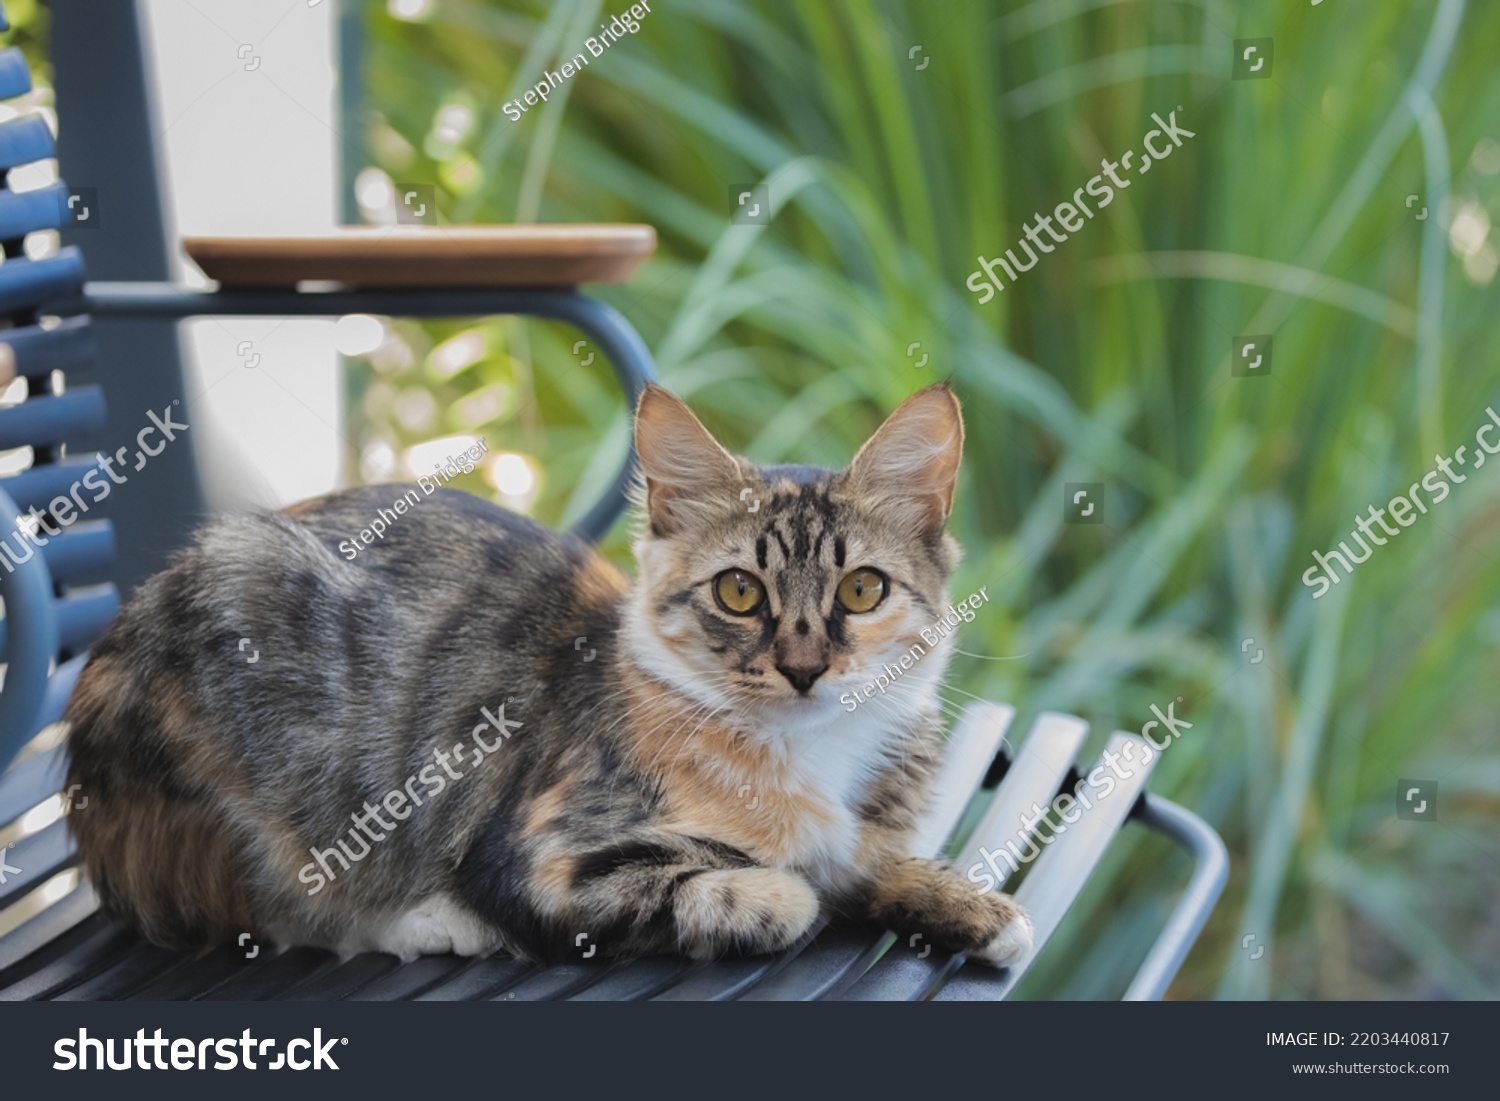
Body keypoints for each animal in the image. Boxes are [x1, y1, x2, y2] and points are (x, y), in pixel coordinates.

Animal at [64, 384, 1038, 972]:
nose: (803, 668)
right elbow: (755, 888)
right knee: (280, 906)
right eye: (740, 590)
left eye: (862, 589)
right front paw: (784, 888)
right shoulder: (542, 859)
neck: (809, 758)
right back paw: (426, 921)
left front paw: (979, 909)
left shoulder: (862, 835)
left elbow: (877, 863)